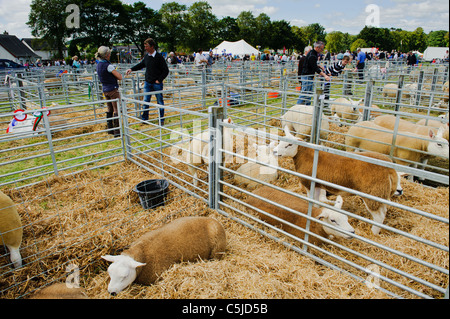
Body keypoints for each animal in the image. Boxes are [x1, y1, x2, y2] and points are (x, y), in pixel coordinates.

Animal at [272, 126, 406, 236]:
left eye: (289, 145)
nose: (274, 151)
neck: (306, 155)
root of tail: (390, 169)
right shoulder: (318, 184)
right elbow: (316, 201)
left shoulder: (309, 183)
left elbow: (311, 200)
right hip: (382, 194)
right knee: (383, 211)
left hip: (373, 193)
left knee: (379, 216)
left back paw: (373, 233)